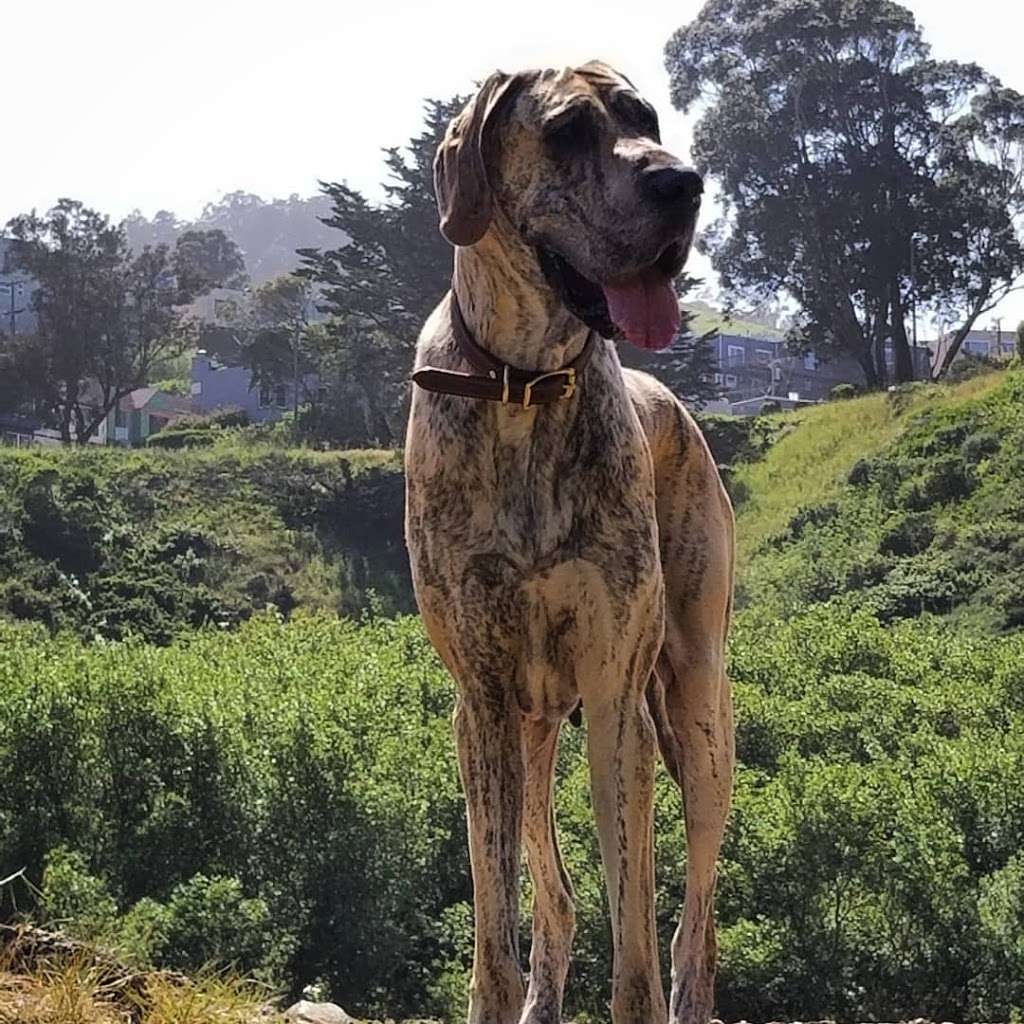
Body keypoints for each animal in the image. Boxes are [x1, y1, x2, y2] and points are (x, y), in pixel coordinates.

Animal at [403, 59, 733, 1019]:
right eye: (565, 132)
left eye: (647, 118)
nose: (682, 182)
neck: (527, 384)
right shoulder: (479, 698)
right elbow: (496, 912)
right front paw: (497, 989)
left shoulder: (617, 693)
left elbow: (636, 932)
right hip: (534, 724)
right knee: (555, 896)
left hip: (699, 712)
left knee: (692, 921)